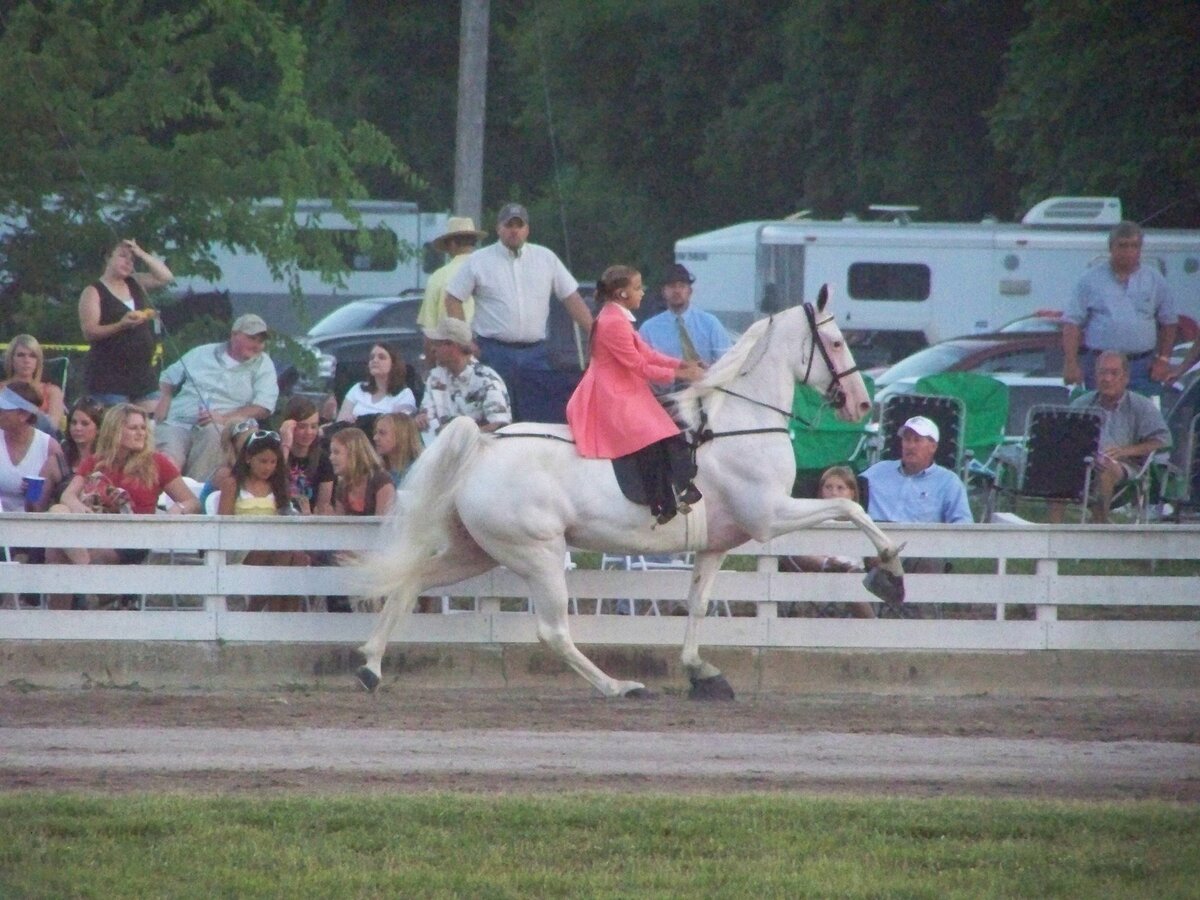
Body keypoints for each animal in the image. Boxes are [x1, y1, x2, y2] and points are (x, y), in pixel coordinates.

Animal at [355, 285, 902, 700]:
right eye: (835, 342)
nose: (860, 404)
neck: (739, 423)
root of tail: (485, 445)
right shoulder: (770, 517)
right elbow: (849, 506)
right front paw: (890, 574)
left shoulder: (717, 545)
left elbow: (698, 605)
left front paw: (701, 673)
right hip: (538, 553)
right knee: (553, 631)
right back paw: (619, 687)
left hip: (478, 551)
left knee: (411, 582)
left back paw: (370, 668)